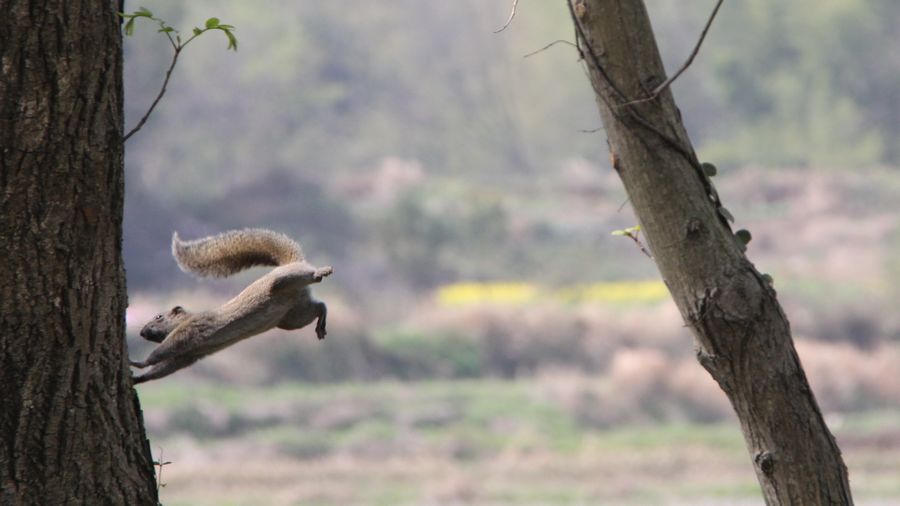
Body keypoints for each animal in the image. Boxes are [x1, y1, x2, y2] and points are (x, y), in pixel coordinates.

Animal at [130, 229, 330, 384]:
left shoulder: (190, 330)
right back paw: (321, 324)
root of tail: (289, 264)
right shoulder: (188, 356)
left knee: (309, 277)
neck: (186, 320)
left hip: (282, 282)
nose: (141, 332)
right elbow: (165, 368)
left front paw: (139, 363)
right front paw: (138, 379)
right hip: (293, 316)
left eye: (158, 317)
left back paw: (323, 271)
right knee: (320, 306)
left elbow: (162, 351)